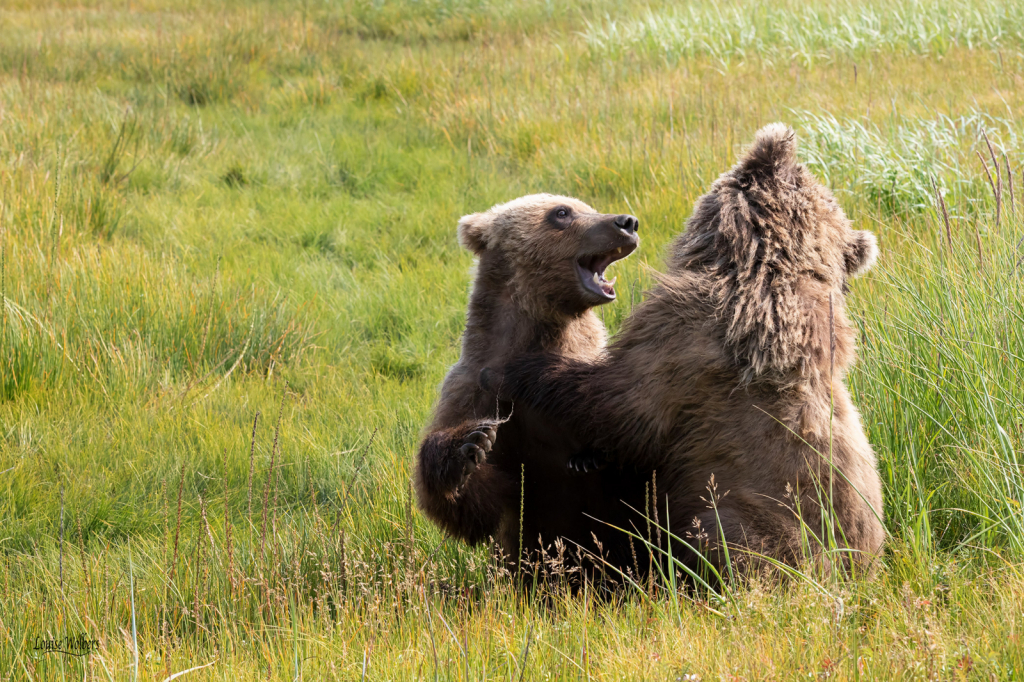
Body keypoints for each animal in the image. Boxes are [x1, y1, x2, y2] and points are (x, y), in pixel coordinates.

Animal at [411, 193, 651, 577]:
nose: (627, 222)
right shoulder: (473, 389)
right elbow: (475, 511)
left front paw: (588, 456)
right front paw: (469, 445)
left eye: (587, 206)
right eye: (562, 212)